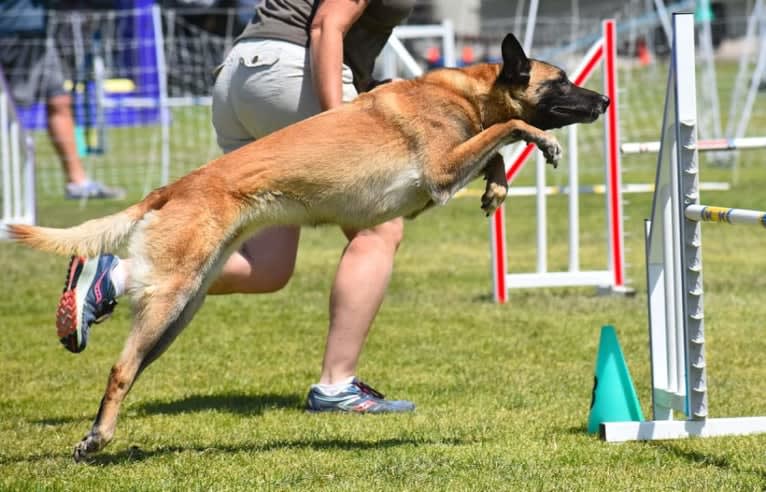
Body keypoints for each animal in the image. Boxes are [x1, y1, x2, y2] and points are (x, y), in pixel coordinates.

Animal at [6, 34, 608, 462]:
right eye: (561, 82)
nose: (603, 98)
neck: (468, 92)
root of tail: (176, 186)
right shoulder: (440, 171)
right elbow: (508, 129)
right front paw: (538, 143)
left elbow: (495, 148)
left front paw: (497, 186)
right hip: (172, 295)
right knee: (119, 366)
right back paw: (95, 416)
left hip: (186, 302)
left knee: (131, 345)